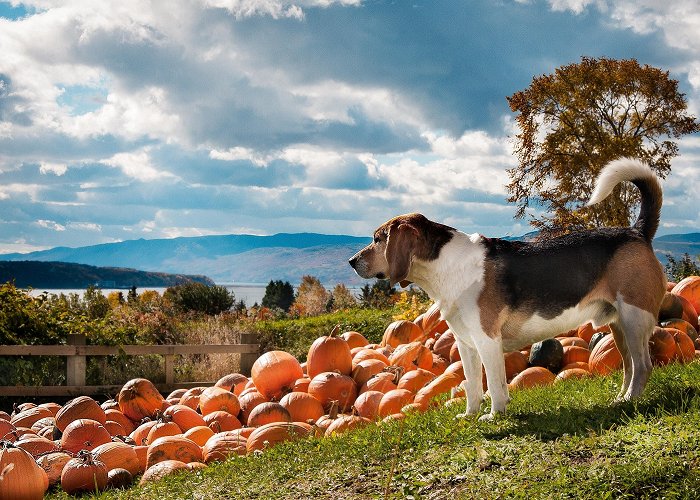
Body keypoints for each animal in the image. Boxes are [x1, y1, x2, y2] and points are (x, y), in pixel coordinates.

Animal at [350, 158, 668, 420]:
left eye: (378, 239)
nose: (352, 261)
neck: (447, 264)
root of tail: (636, 231)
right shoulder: (466, 344)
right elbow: (473, 384)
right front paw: (470, 415)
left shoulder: (487, 340)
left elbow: (494, 383)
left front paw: (494, 416)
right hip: (618, 325)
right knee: (629, 366)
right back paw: (621, 399)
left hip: (634, 318)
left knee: (643, 366)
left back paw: (631, 401)